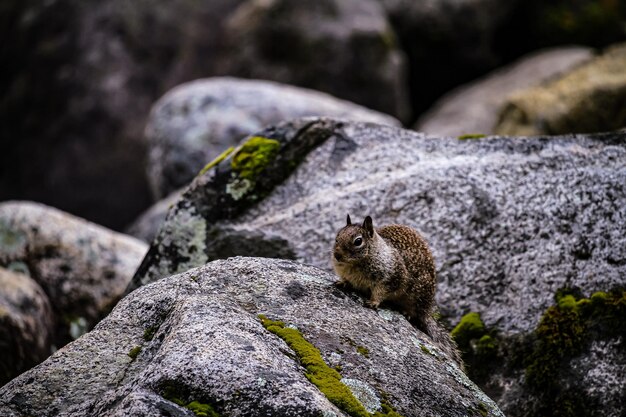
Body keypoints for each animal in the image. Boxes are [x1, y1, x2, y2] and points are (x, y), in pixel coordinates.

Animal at [334, 216, 460, 366]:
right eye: (337, 236)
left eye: (358, 241)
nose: (336, 255)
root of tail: (427, 310)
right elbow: (346, 280)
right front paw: (341, 283)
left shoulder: (392, 278)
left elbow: (380, 292)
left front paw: (373, 302)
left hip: (417, 296)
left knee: (415, 311)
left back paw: (407, 312)